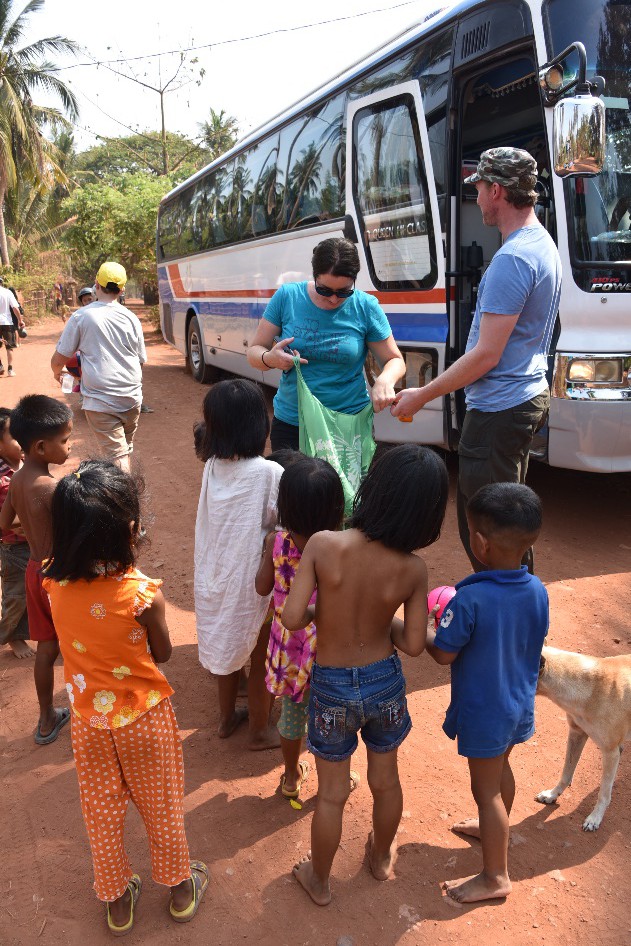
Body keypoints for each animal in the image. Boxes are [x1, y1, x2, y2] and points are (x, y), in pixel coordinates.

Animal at [536, 644, 631, 828]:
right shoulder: (577, 734)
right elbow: (566, 773)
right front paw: (552, 795)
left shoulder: (611, 752)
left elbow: (604, 793)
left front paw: (595, 818)